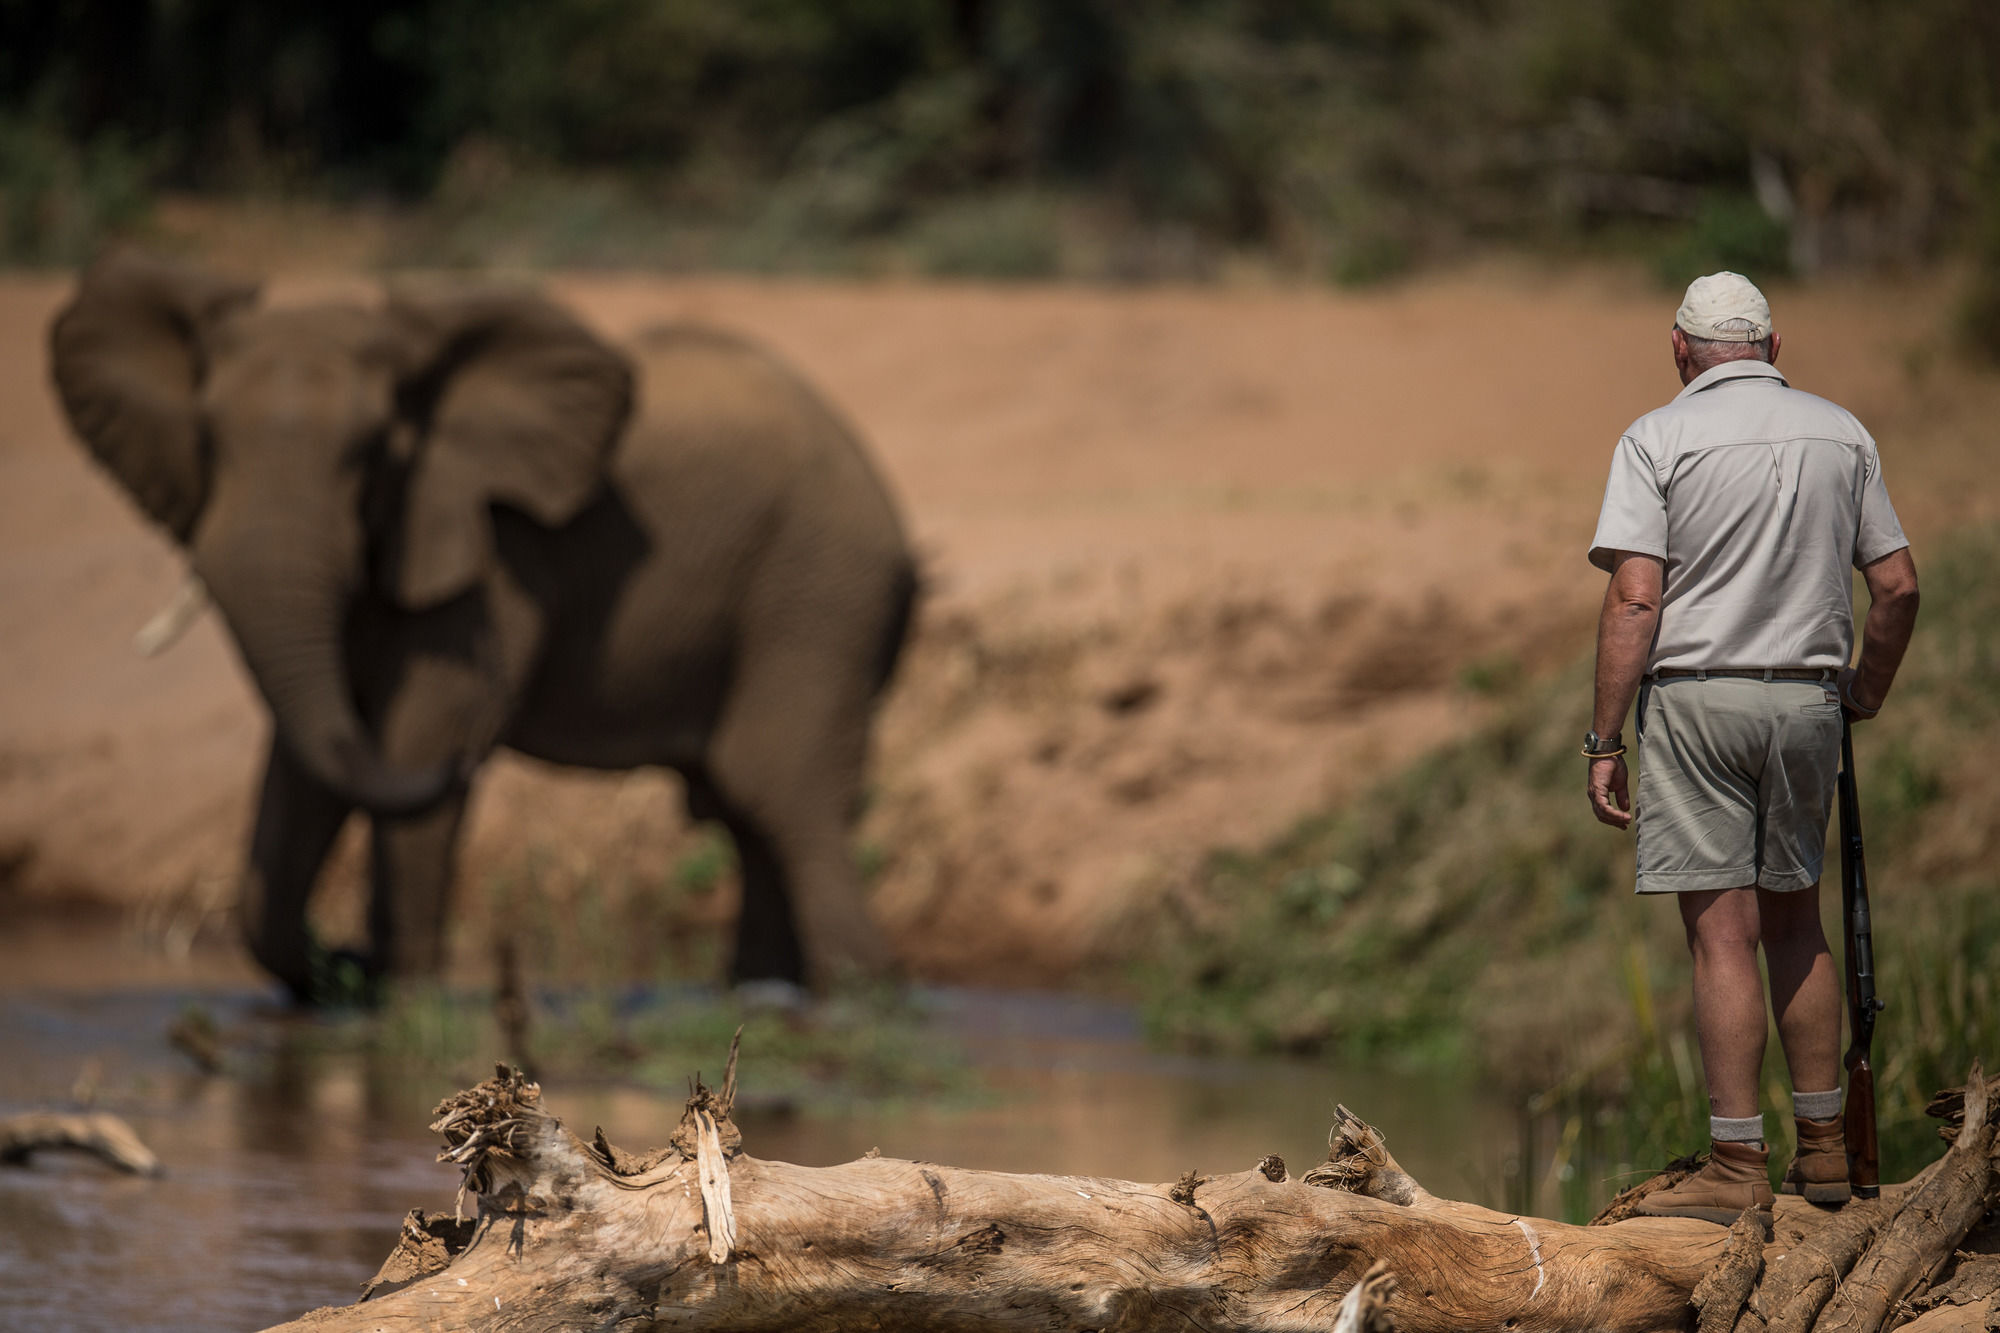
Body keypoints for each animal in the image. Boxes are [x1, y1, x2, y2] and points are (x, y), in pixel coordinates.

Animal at [48, 249, 916, 996]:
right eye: (207, 438)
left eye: (374, 451)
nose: (346, 957)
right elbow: (308, 764)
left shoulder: (492, 544)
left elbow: (413, 738)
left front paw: (405, 996)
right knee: (747, 810)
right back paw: (767, 994)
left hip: (822, 592)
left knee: (781, 788)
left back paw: (861, 992)